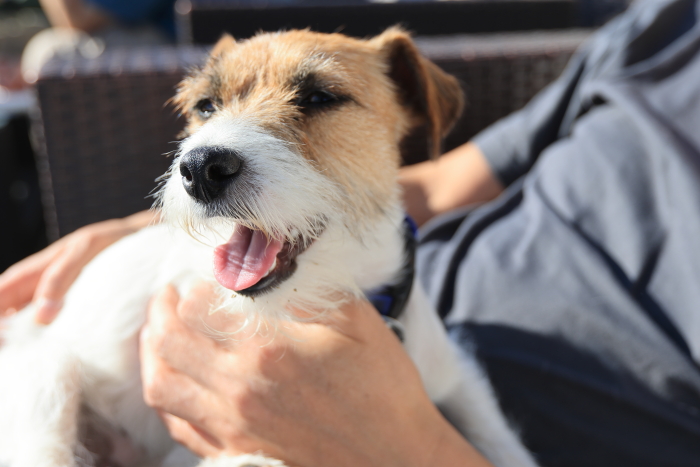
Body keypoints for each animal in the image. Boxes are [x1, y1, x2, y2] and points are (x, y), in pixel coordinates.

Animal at [0, 28, 538, 467]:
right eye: (206, 106)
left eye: (320, 96)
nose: (200, 167)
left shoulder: (457, 377)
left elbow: (500, 442)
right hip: (45, 379)